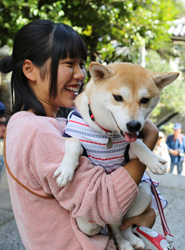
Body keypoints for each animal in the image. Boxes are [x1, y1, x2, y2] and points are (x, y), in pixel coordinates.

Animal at [53, 62, 179, 250]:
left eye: (145, 100)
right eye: (117, 97)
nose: (134, 125)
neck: (106, 132)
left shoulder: (128, 150)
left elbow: (137, 144)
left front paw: (153, 159)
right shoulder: (68, 135)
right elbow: (74, 143)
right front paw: (66, 171)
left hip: (144, 192)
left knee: (123, 226)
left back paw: (130, 240)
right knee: (111, 226)